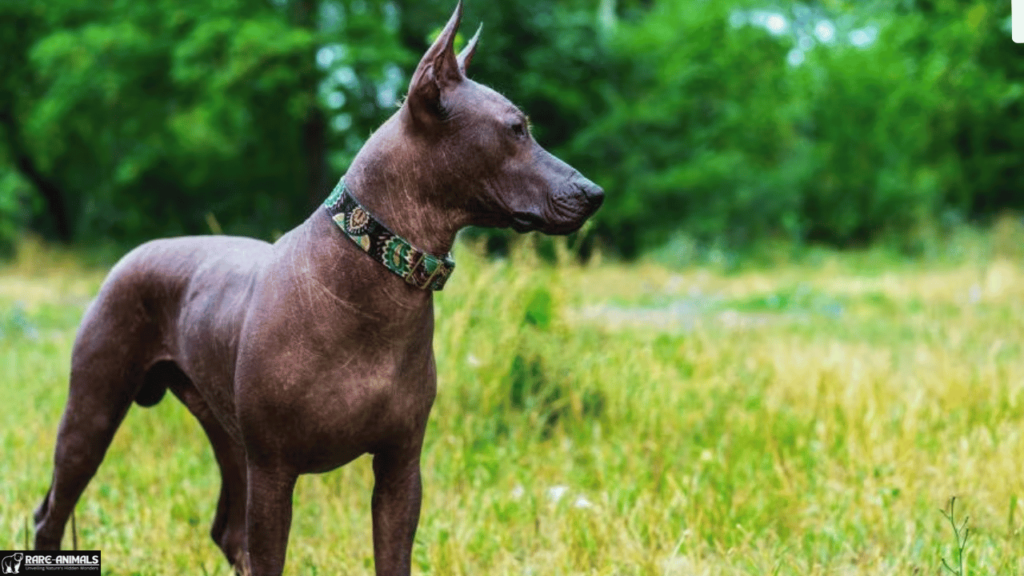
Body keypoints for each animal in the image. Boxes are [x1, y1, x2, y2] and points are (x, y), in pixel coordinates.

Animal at [34, 2, 598, 569]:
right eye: (517, 129)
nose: (593, 192)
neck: (374, 275)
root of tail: (133, 253)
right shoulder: (275, 473)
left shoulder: (400, 471)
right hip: (94, 411)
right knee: (51, 513)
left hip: (227, 436)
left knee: (226, 532)